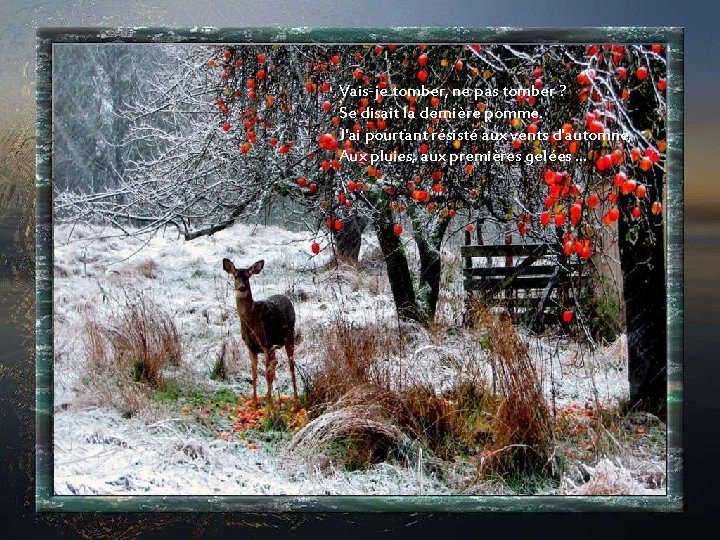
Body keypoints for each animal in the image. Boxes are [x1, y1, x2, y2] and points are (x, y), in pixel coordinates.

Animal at [221, 258, 296, 404]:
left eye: (248, 276)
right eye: (235, 276)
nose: (242, 287)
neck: (251, 320)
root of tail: (286, 298)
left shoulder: (265, 343)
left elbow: (267, 374)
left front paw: (269, 403)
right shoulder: (250, 346)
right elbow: (254, 374)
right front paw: (255, 402)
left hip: (289, 336)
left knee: (290, 365)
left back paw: (295, 397)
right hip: (274, 345)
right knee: (275, 363)